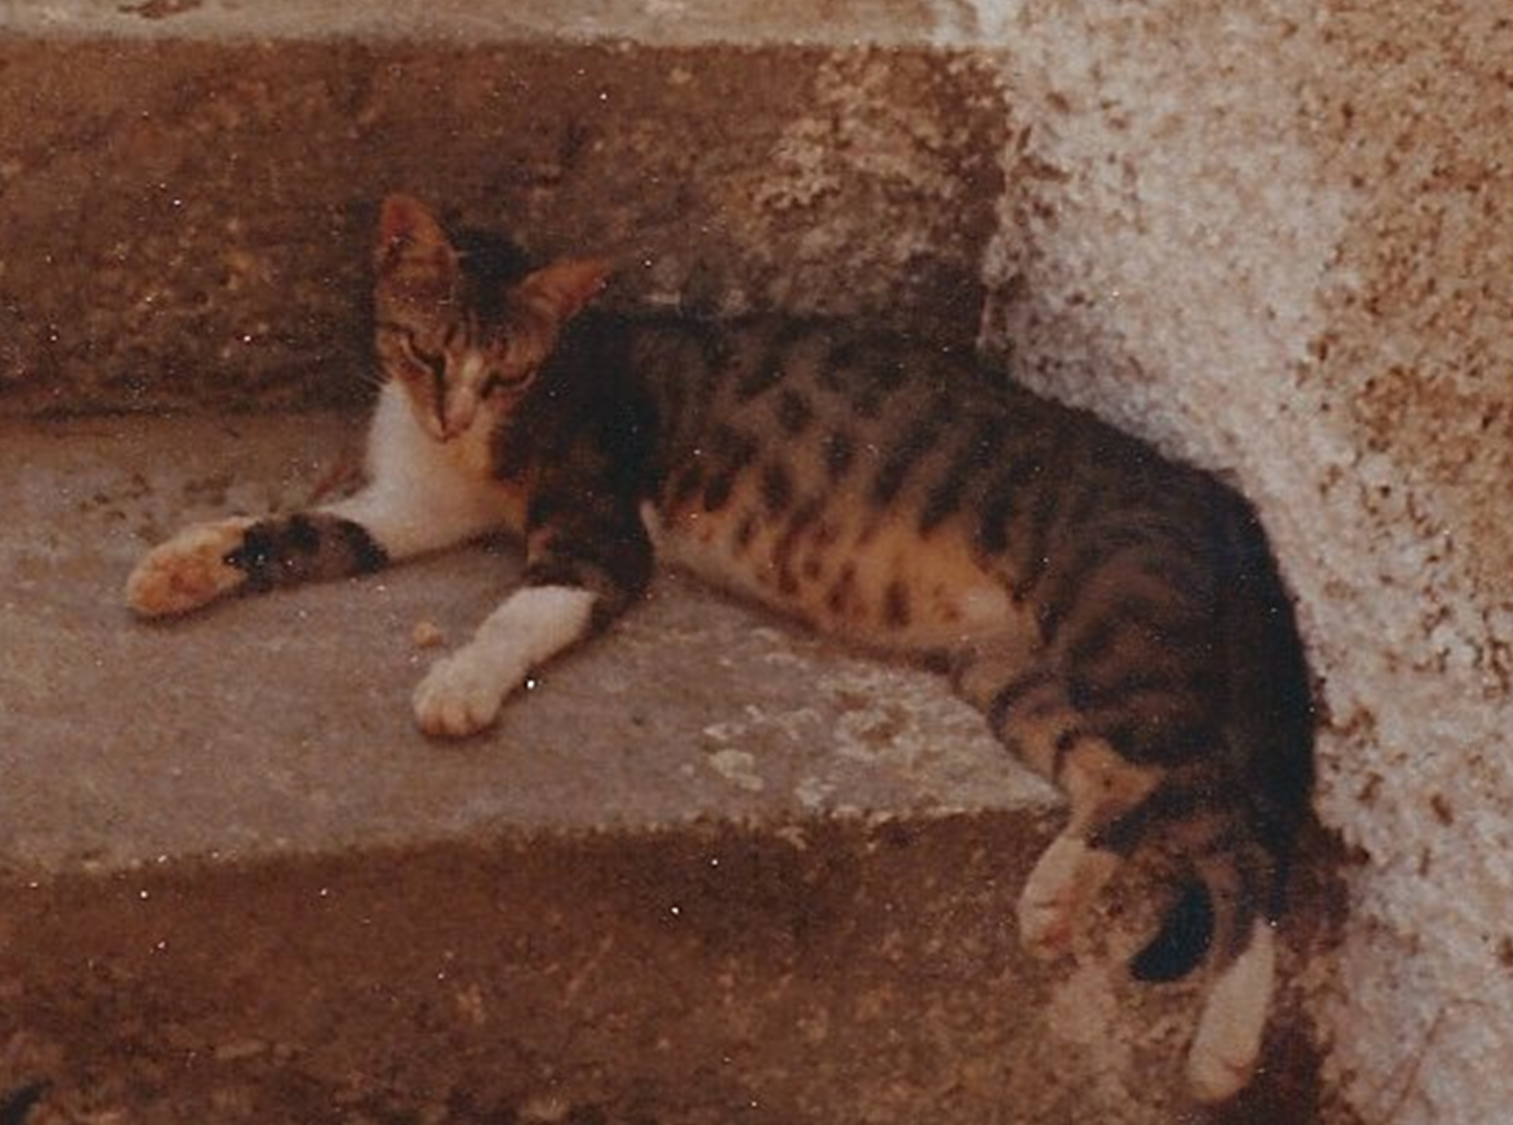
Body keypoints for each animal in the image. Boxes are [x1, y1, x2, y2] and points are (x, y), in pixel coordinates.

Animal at [125, 194, 1314, 1104]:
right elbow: (292, 530)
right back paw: (1058, 891)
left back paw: (1223, 1041)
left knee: (1242, 837)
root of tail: (1213, 492)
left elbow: (521, 611)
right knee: (1122, 780)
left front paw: (459, 681)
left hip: (1122, 641)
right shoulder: (405, 507)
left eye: (505, 374)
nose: (454, 413)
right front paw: (179, 564)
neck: (464, 448)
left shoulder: (597, 537)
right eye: (424, 351)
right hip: (1014, 672)